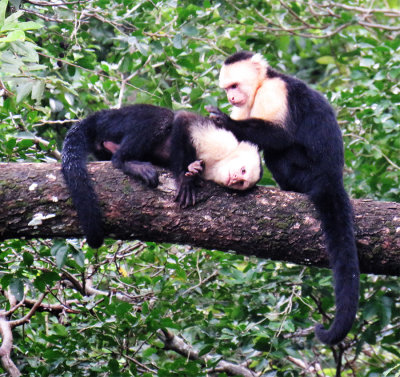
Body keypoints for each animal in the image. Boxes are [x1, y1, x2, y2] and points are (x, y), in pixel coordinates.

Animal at [61, 104, 262, 248]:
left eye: (242, 183)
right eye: (243, 171)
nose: (235, 178)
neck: (220, 162)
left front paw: (194, 171)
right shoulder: (221, 140)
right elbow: (183, 120)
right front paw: (185, 178)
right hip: (119, 121)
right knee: (161, 118)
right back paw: (124, 161)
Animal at [206, 51, 360, 346]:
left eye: (234, 86)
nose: (231, 98)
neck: (261, 85)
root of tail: (331, 176)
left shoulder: (274, 91)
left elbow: (279, 135)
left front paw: (224, 121)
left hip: (307, 171)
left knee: (278, 152)